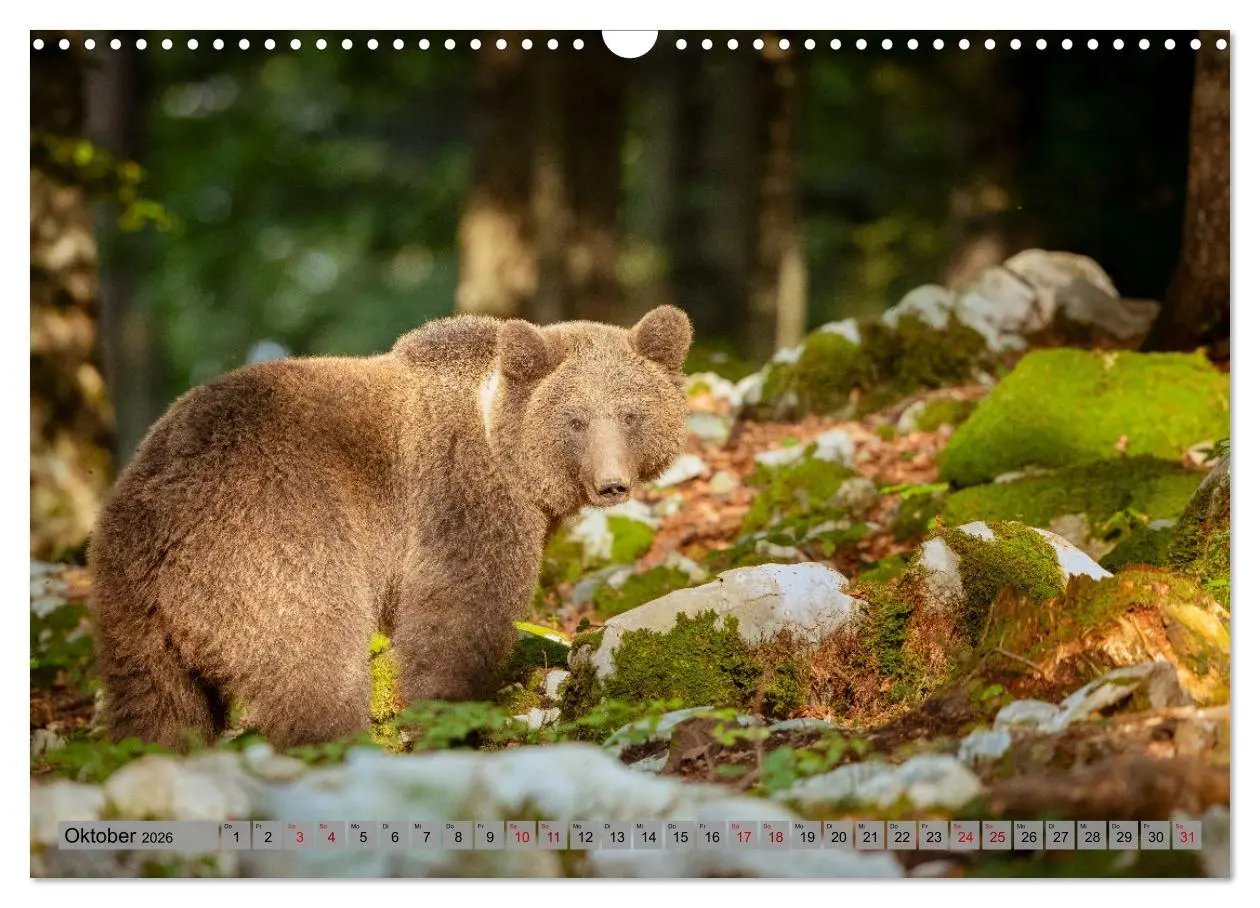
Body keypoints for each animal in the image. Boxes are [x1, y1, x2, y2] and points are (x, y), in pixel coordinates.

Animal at [88, 305, 693, 749]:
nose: (612, 484)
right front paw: (448, 719)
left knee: (158, 708)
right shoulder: (460, 498)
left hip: (129, 610)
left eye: (632, 414)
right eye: (575, 419)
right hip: (271, 548)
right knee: (316, 665)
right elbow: (457, 617)